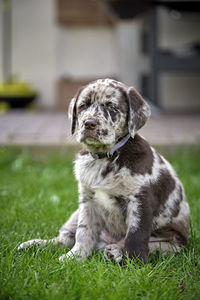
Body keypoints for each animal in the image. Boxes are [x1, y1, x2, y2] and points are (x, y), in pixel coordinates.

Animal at [17, 78, 191, 264]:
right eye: (83, 106)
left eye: (111, 106)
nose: (89, 123)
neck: (104, 158)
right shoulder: (87, 201)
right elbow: (83, 232)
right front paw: (76, 256)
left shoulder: (140, 201)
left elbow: (136, 236)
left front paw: (134, 263)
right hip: (75, 214)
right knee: (64, 238)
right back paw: (34, 244)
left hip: (173, 241)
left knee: (156, 245)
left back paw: (116, 251)